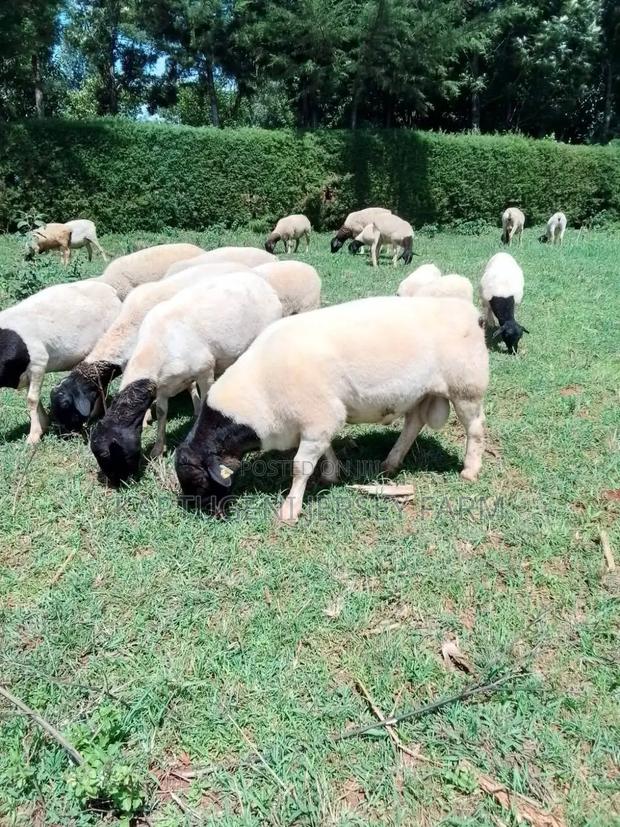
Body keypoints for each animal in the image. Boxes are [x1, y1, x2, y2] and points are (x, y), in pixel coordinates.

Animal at [90, 273, 283, 484]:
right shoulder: (162, 386)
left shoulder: (205, 370)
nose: (116, 484)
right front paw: (158, 450)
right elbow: (162, 412)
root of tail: (260, 281)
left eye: (108, 455)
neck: (155, 347)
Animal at [175, 295, 488, 524]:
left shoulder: (318, 417)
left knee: (475, 428)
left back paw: (470, 470)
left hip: (466, 387)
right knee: (413, 424)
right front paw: (331, 474)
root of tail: (468, 311)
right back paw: (390, 462)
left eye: (199, 478)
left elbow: (300, 466)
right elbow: (324, 450)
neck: (259, 391)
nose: (206, 515)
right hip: (420, 394)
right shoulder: (319, 420)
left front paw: (290, 510)